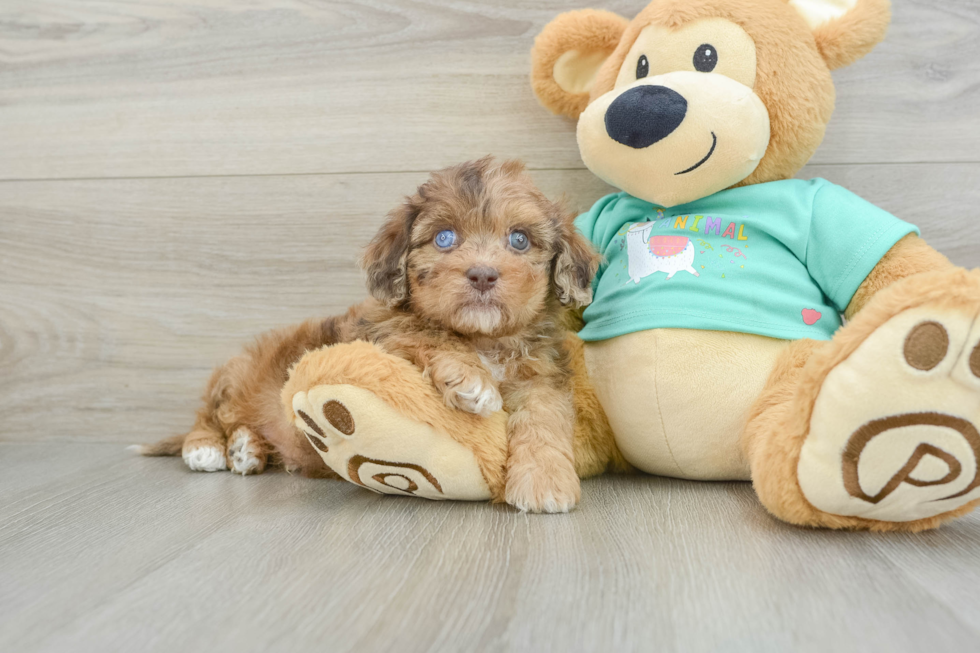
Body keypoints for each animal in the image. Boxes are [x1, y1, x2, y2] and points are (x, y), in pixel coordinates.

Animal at [137, 155, 596, 512]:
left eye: (519, 239)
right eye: (444, 238)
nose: (483, 274)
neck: (483, 338)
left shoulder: (544, 375)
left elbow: (544, 418)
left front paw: (544, 482)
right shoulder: (378, 331)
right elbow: (422, 330)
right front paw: (472, 380)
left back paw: (246, 450)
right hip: (236, 376)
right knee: (209, 415)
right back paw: (207, 448)